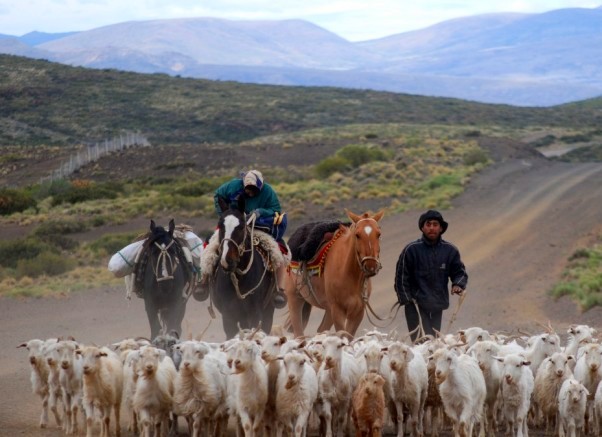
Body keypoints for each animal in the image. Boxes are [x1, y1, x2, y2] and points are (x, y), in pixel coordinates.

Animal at [210, 197, 278, 338]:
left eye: (241, 227)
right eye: (221, 226)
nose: (227, 261)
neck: (240, 278)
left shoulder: (256, 313)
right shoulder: (228, 315)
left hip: (268, 311)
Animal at [282, 208, 384, 338]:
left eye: (378, 234)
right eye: (357, 235)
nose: (371, 265)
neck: (349, 274)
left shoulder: (358, 313)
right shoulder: (337, 311)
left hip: (327, 310)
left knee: (321, 330)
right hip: (294, 299)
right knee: (299, 333)